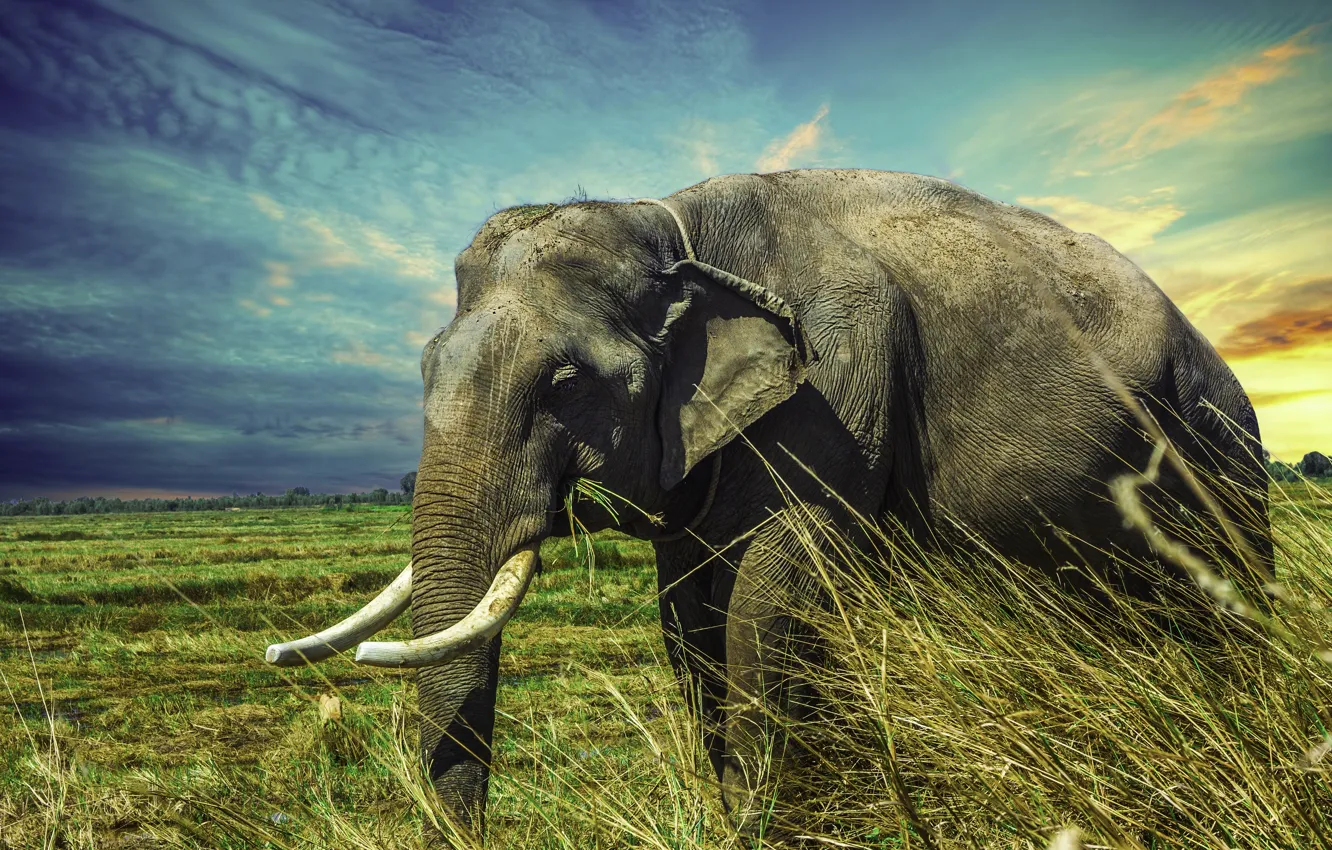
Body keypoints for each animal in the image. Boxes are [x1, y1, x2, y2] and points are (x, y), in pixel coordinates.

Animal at [265, 169, 1273, 842]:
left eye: (564, 382)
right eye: (424, 368)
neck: (671, 223)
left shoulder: (838, 381)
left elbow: (769, 593)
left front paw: (764, 826)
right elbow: (686, 617)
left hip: (1221, 441)